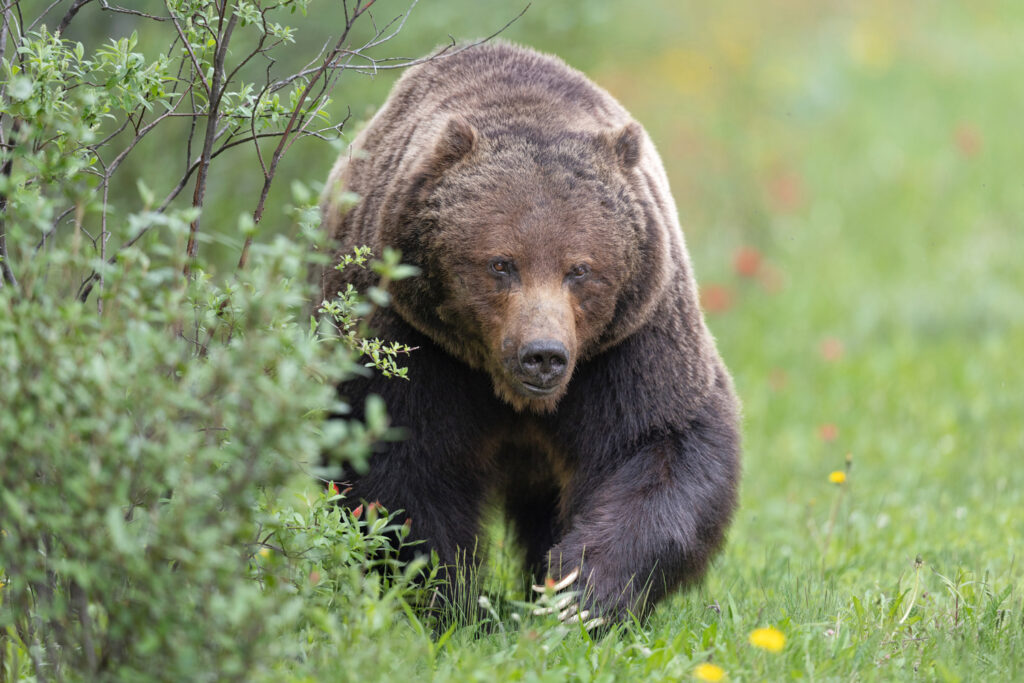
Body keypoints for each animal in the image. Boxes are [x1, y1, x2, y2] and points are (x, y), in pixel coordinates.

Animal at [317, 41, 741, 624]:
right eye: (501, 263)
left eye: (580, 268)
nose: (543, 355)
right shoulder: (414, 341)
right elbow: (399, 466)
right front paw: (447, 598)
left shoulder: (630, 342)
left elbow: (659, 444)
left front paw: (578, 593)